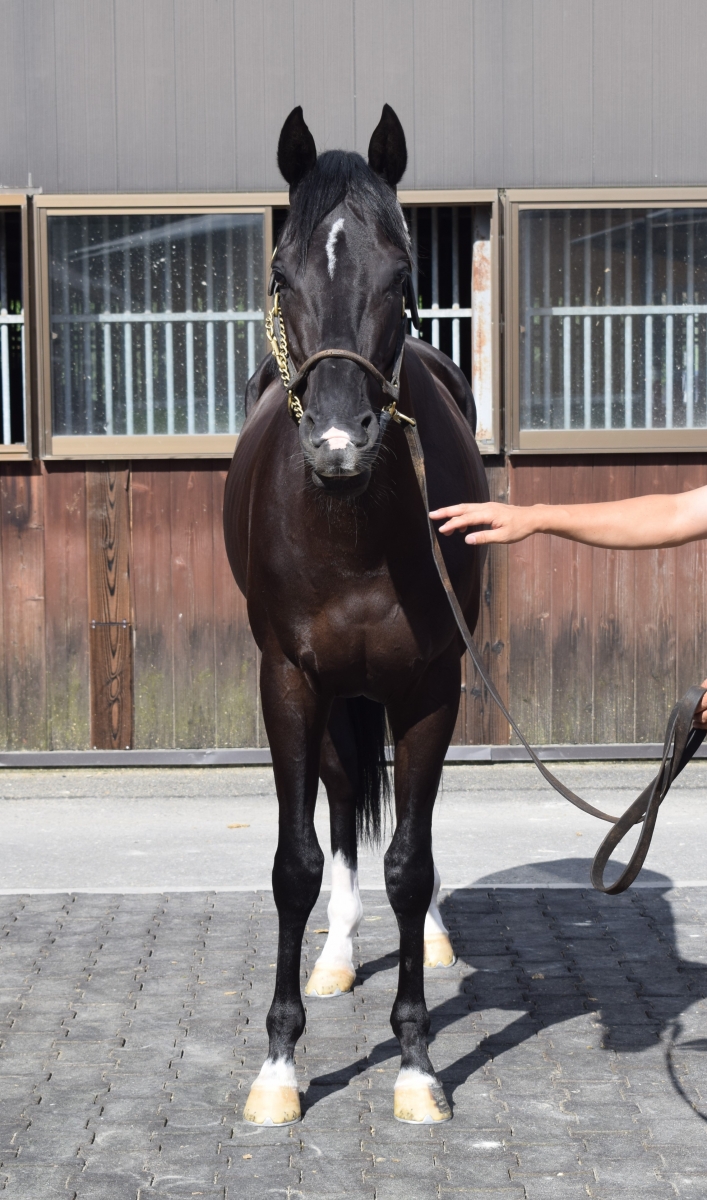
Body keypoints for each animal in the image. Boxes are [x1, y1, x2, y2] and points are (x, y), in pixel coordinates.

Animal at [223, 104, 489, 1126]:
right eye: (280, 274)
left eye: (403, 274)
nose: (339, 445)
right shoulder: (289, 682)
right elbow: (295, 862)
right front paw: (278, 1066)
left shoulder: (429, 687)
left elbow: (409, 862)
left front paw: (415, 1062)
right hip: (333, 694)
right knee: (339, 801)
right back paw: (335, 956)